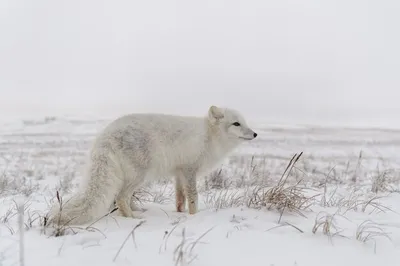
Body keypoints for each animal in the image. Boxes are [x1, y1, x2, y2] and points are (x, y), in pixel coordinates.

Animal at [47, 105, 258, 225]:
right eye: (236, 124)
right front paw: (194, 216)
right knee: (120, 198)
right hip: (139, 176)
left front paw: (180, 214)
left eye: (245, 122)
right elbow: (193, 197)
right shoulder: (189, 170)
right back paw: (132, 219)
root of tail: (105, 135)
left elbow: (179, 199)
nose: (255, 134)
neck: (209, 136)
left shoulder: (179, 173)